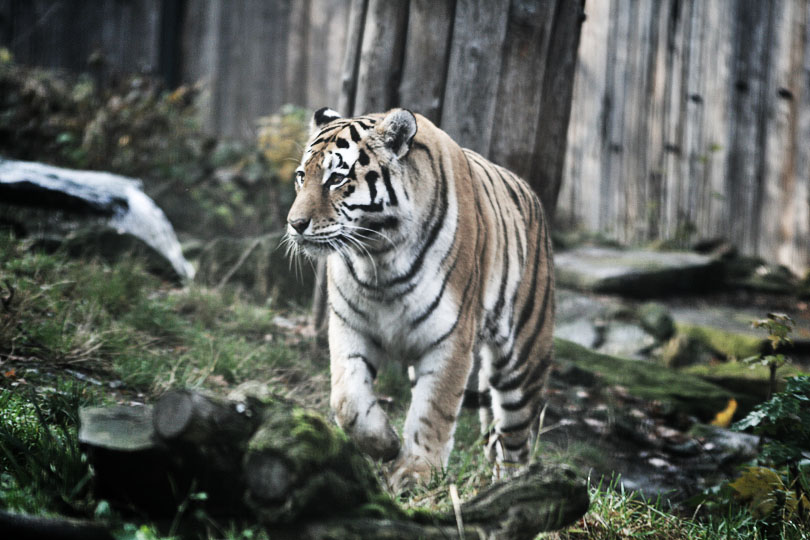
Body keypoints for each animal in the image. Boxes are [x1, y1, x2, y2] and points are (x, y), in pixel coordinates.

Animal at [286, 107, 556, 492]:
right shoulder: (349, 326)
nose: (294, 224)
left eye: (336, 178)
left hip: (522, 362)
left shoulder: (450, 339)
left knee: (514, 441)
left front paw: (417, 472)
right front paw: (385, 445)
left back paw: (511, 488)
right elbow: (347, 399)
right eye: (301, 176)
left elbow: (434, 410)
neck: (378, 257)